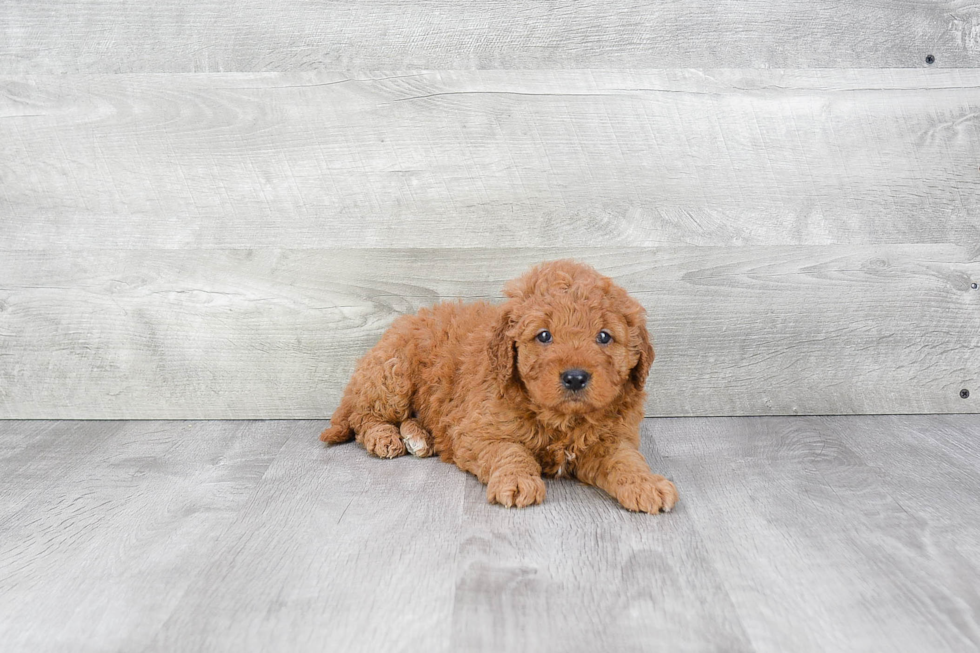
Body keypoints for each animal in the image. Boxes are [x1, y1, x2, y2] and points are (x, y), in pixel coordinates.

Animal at [318, 258, 676, 512]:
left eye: (604, 336)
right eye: (543, 335)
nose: (575, 377)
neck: (560, 418)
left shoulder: (611, 439)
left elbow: (626, 460)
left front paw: (646, 484)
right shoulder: (478, 431)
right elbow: (510, 450)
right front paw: (517, 481)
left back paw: (419, 437)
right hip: (392, 375)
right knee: (363, 416)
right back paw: (386, 438)